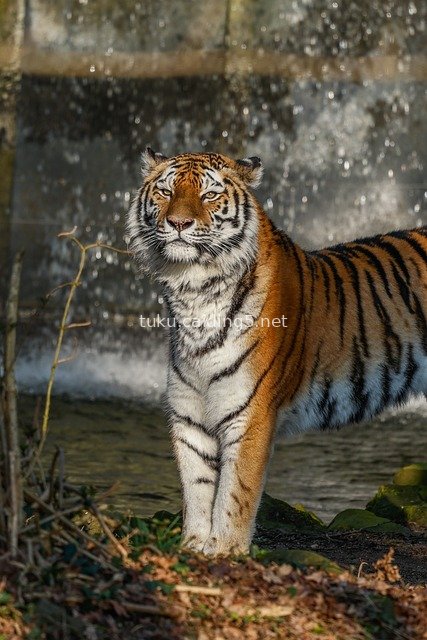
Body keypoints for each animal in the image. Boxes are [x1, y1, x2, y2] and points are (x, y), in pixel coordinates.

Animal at [127, 147, 427, 557]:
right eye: (165, 191)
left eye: (209, 195)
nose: (178, 223)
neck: (194, 292)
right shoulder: (189, 417)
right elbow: (197, 490)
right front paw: (192, 546)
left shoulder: (250, 414)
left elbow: (234, 494)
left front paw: (225, 550)